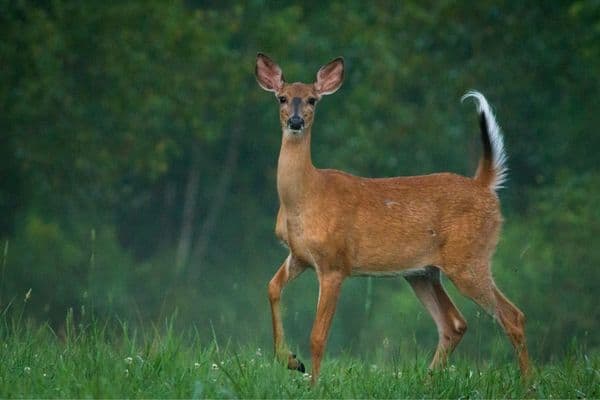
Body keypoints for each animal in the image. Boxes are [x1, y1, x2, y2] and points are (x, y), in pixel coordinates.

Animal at [254, 53, 528, 384]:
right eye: (281, 98)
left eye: (312, 100)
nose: (296, 121)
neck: (306, 195)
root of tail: (484, 185)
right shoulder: (299, 255)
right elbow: (271, 288)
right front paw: (291, 361)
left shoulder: (335, 263)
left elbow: (318, 336)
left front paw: (314, 384)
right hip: (423, 272)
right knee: (455, 323)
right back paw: (428, 381)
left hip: (469, 260)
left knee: (512, 316)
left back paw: (529, 385)